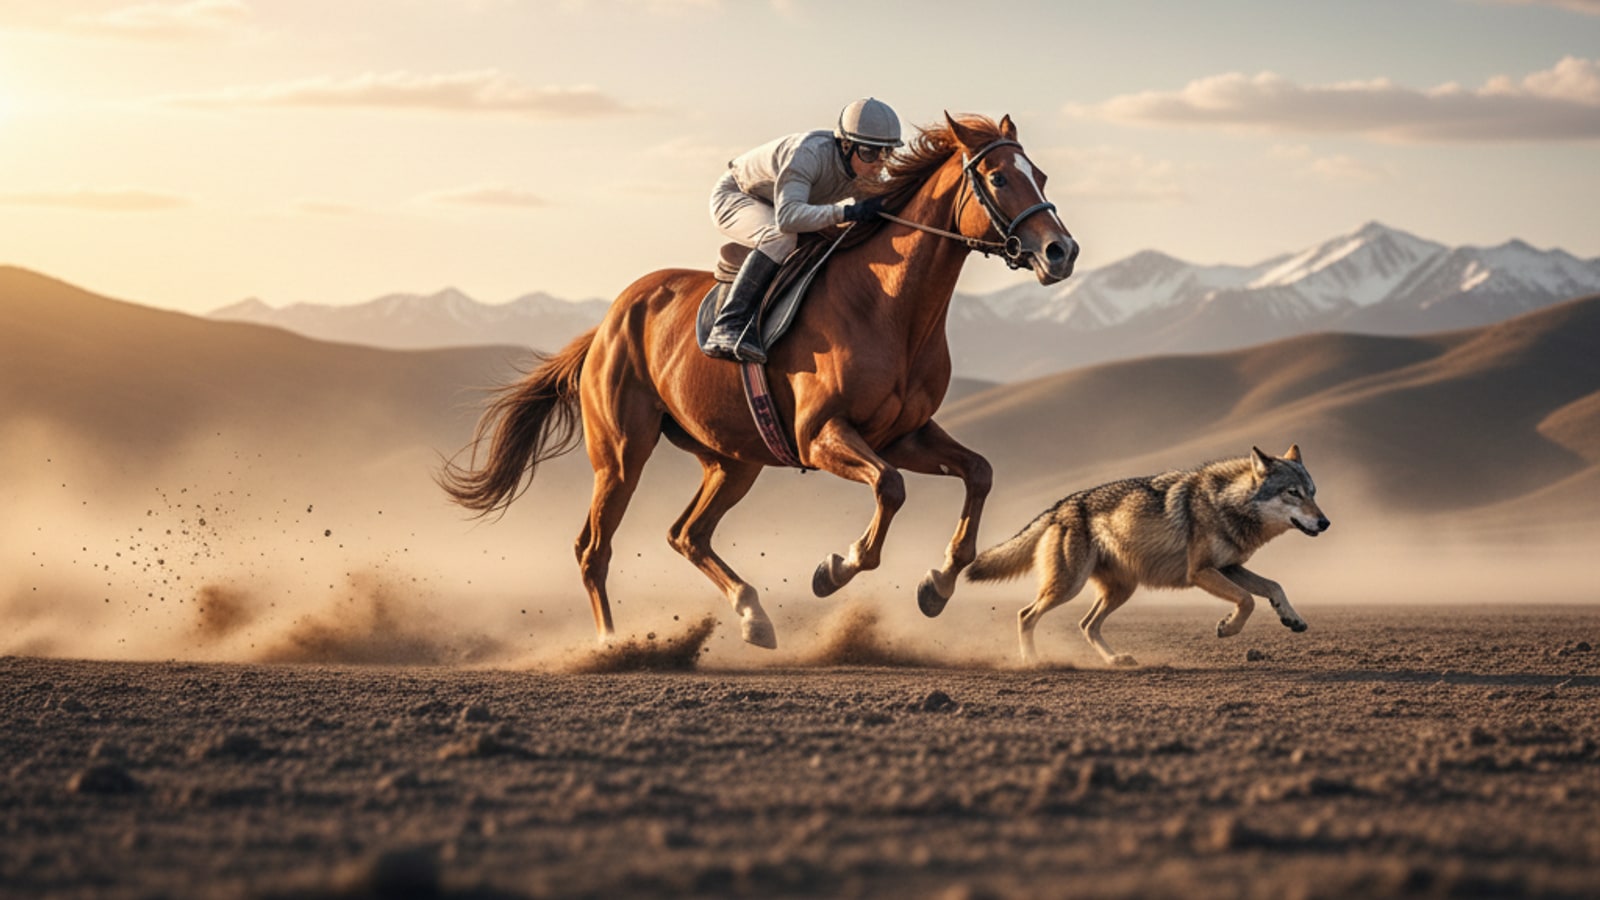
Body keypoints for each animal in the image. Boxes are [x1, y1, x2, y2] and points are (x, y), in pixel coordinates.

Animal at [440, 113, 1078, 649]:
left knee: (687, 534)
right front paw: (834, 569)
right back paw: (612, 645)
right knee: (594, 549)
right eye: (998, 177)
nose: (1060, 251)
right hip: (622, 454)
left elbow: (979, 472)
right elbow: (891, 487)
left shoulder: (905, 435)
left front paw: (937, 584)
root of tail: (605, 326)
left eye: (1041, 174)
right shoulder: (820, 436)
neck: (890, 307)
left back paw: (753, 616)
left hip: (732, 457)